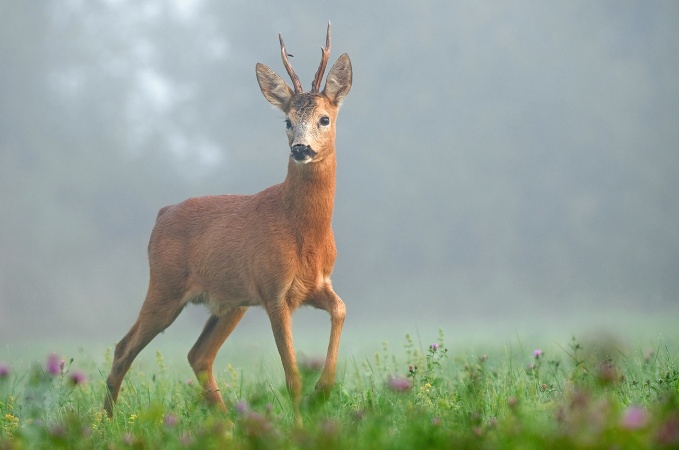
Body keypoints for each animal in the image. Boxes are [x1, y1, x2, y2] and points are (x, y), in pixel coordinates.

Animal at [105, 23, 356, 426]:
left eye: (324, 118)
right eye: (287, 121)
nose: (300, 149)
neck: (304, 233)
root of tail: (162, 213)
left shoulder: (316, 284)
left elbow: (341, 310)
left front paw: (323, 391)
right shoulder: (273, 290)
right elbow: (292, 375)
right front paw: (300, 426)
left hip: (230, 302)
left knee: (198, 355)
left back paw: (228, 424)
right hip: (164, 286)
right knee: (123, 348)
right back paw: (107, 425)